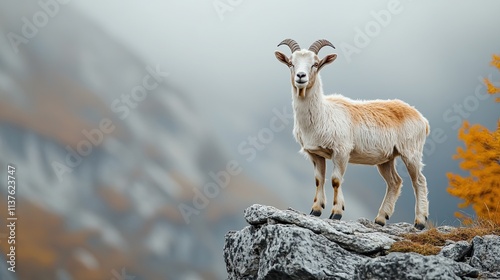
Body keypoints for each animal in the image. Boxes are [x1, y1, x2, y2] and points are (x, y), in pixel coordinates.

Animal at [274, 38, 430, 229]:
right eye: (291, 63)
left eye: (315, 64)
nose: (301, 76)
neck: (322, 115)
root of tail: (422, 119)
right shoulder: (315, 153)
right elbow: (319, 179)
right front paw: (315, 210)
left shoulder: (341, 151)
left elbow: (335, 180)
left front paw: (336, 213)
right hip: (386, 159)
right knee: (395, 182)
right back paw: (380, 219)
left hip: (411, 152)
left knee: (419, 181)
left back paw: (420, 222)